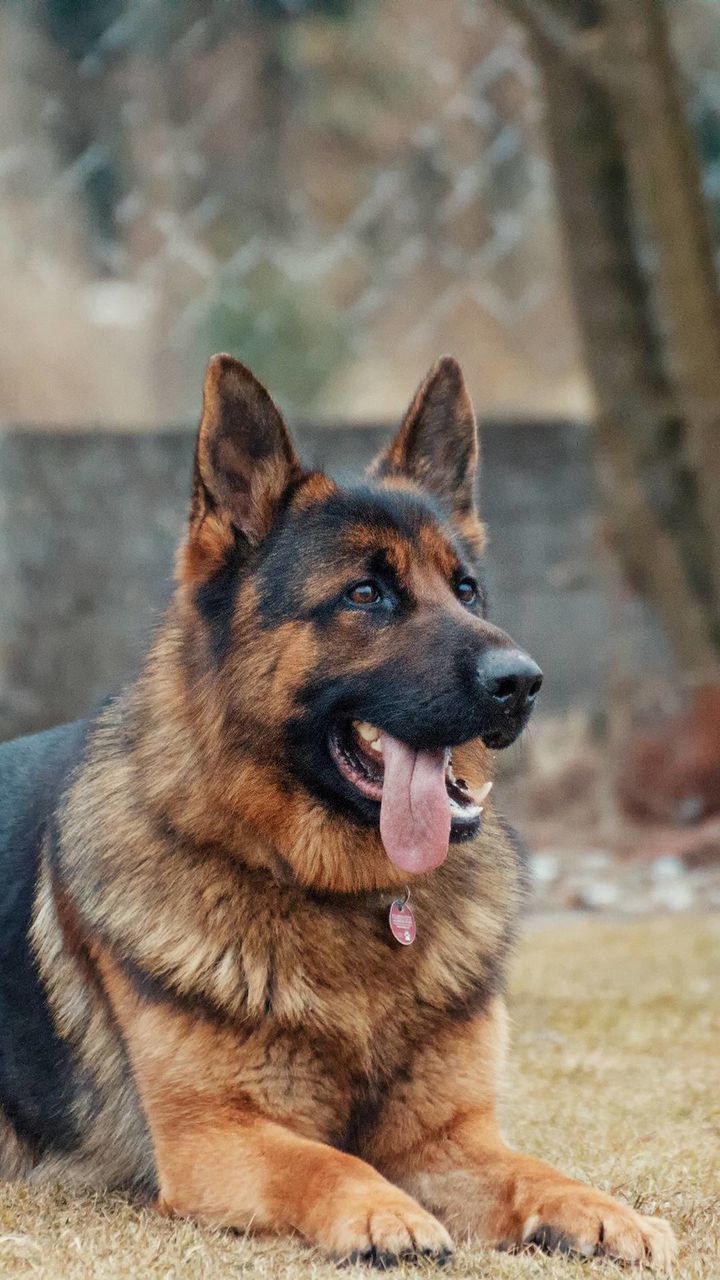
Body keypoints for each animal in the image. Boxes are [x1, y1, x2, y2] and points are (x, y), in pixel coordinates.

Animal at [0, 355, 671, 1264]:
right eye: (365, 594)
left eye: (467, 591)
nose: (523, 682)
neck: (349, 897)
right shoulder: (216, 1138)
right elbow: (325, 1162)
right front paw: (385, 1212)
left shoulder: (449, 1137)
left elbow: (536, 1170)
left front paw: (602, 1208)